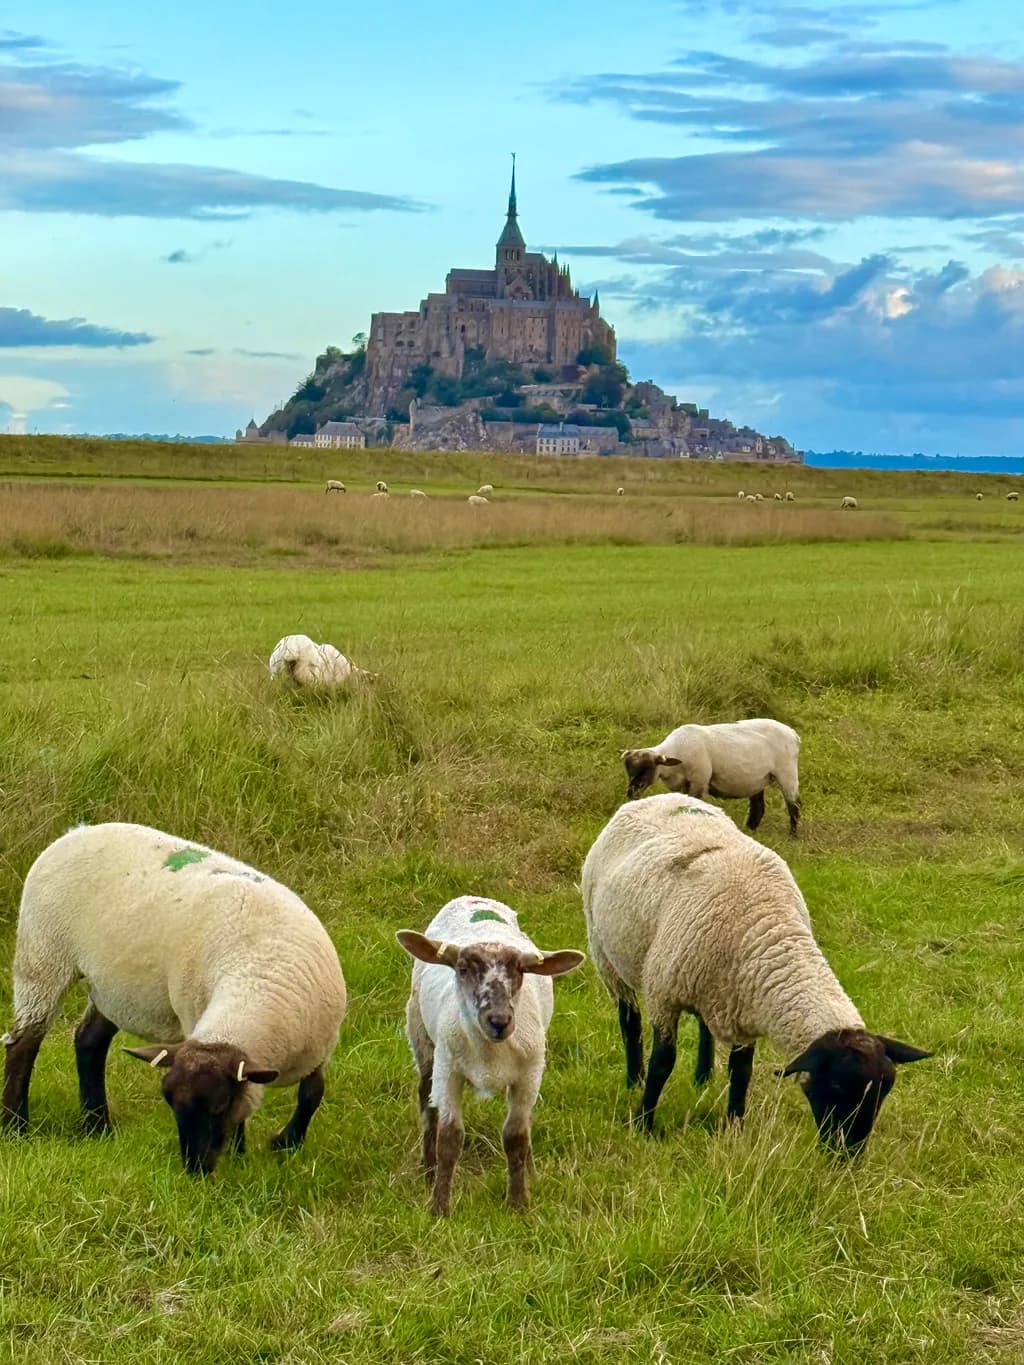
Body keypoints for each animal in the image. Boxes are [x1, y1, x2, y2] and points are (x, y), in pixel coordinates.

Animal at [2, 822, 347, 1174]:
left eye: (219, 1106)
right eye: (171, 1105)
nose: (195, 1171)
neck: (257, 977)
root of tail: (75, 832)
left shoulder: (322, 1045)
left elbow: (312, 1093)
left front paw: (288, 1143)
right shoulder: (197, 1017)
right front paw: (240, 1156)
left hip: (111, 985)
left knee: (89, 1041)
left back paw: (97, 1127)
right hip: (43, 957)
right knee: (23, 1045)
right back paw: (16, 1128)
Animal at [396, 896, 584, 1215]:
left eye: (520, 971)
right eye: (462, 969)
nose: (499, 1020)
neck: (489, 1052)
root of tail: (472, 898)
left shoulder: (529, 1076)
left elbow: (516, 1137)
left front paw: (519, 1202)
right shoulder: (449, 1072)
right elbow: (450, 1139)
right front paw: (439, 1207)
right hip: (422, 1040)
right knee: (426, 1100)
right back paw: (428, 1170)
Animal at [581, 794, 930, 1151]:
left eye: (883, 1094)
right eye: (836, 1087)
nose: (847, 1155)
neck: (767, 924)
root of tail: (658, 797)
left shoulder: (742, 1006)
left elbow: (741, 1073)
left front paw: (735, 1126)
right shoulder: (664, 995)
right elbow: (662, 1063)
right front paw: (643, 1125)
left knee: (704, 1025)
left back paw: (703, 1078)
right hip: (603, 951)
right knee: (629, 1020)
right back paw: (633, 1080)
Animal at [621, 717, 801, 835]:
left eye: (646, 769)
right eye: (628, 770)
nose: (631, 793)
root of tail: (793, 734)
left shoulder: (699, 781)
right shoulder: (682, 786)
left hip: (787, 772)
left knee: (794, 805)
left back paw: (792, 835)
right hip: (757, 779)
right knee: (758, 808)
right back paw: (749, 831)